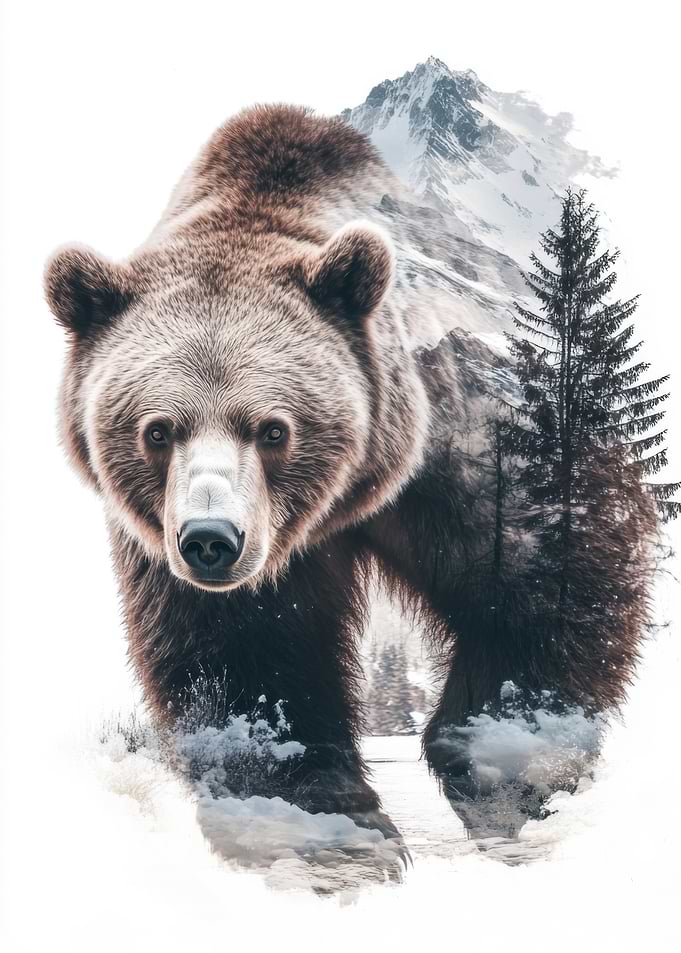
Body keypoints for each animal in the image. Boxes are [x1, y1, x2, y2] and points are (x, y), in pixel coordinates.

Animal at [44, 105, 641, 846]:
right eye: (157, 430)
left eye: (273, 428)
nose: (211, 539)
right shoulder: (189, 557)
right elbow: (247, 660)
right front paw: (311, 790)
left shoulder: (478, 442)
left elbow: (541, 584)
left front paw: (497, 749)